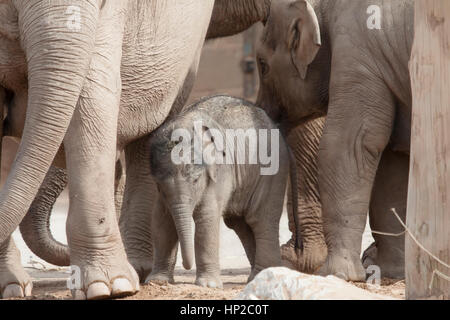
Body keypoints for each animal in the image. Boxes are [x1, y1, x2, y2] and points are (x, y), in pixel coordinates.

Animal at [146, 95, 298, 288]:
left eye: (196, 180)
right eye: (159, 185)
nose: (186, 266)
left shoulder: (220, 171)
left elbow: (206, 217)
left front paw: (208, 285)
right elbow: (161, 220)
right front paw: (156, 281)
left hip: (272, 171)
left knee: (260, 220)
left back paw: (263, 275)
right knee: (240, 223)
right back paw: (259, 276)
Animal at [255, 0, 414, 280]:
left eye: (262, 65)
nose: (294, 249)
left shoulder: (357, 54)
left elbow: (348, 146)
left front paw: (337, 274)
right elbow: (393, 160)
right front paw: (391, 273)